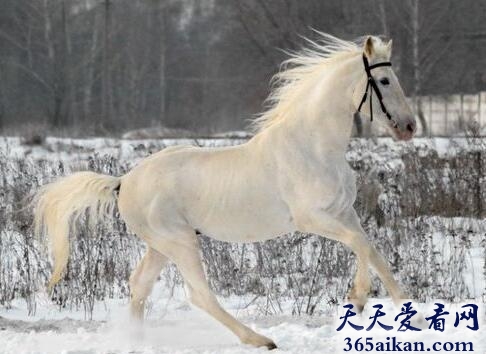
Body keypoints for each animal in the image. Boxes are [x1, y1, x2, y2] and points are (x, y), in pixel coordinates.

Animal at [34, 33, 416, 348]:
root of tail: (123, 181)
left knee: (139, 284)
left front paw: (413, 316)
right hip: (179, 242)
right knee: (200, 295)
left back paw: (138, 341)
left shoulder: (343, 213)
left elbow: (373, 251)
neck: (313, 148)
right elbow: (361, 246)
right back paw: (260, 340)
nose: (410, 127)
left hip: (160, 245)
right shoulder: (312, 219)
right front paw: (358, 299)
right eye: (384, 80)